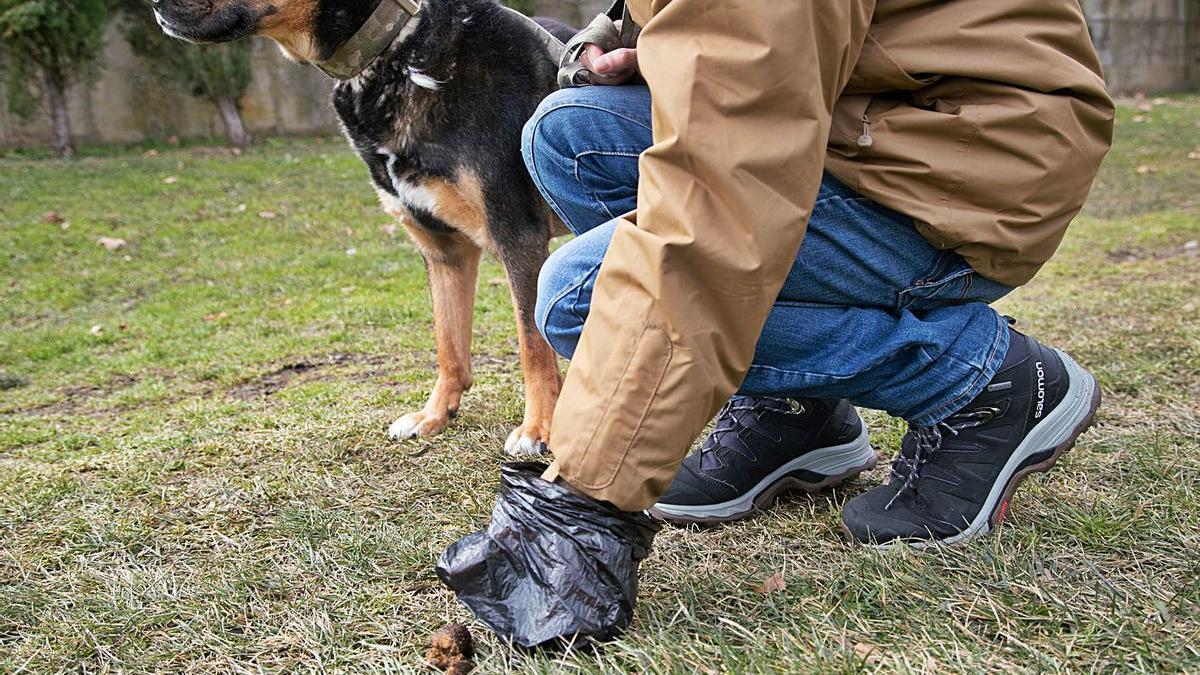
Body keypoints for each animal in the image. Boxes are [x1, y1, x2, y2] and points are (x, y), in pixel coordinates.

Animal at [151, 0, 576, 454]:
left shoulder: (517, 236)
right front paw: (434, 414)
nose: (154, 6)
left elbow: (533, 345)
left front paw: (539, 428)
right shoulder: (445, 252)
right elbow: (448, 343)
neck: (397, 51)